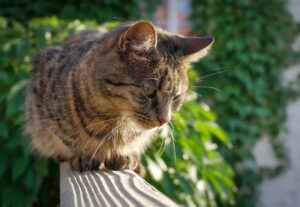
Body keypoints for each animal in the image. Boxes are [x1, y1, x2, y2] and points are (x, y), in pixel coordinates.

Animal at [25, 21, 213, 176]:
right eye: (149, 90)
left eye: (176, 97)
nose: (165, 120)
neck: (116, 120)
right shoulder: (44, 108)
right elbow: (69, 140)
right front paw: (85, 155)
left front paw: (124, 156)